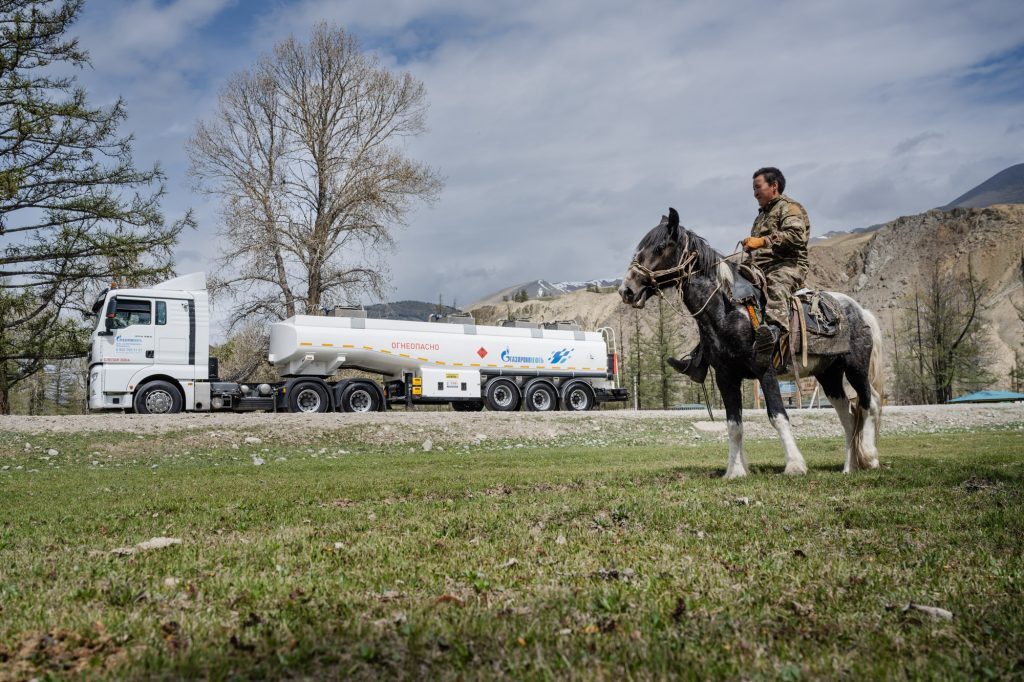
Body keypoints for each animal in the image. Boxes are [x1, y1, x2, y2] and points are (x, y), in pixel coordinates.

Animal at [618, 206, 884, 477]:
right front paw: (735, 471)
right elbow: (734, 424)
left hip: (855, 367)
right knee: (847, 415)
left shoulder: (765, 370)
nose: (626, 290)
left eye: (660, 247)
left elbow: (778, 416)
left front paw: (794, 465)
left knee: (869, 403)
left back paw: (871, 457)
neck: (728, 309)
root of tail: (861, 311)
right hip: (828, 374)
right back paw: (850, 467)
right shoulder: (725, 376)